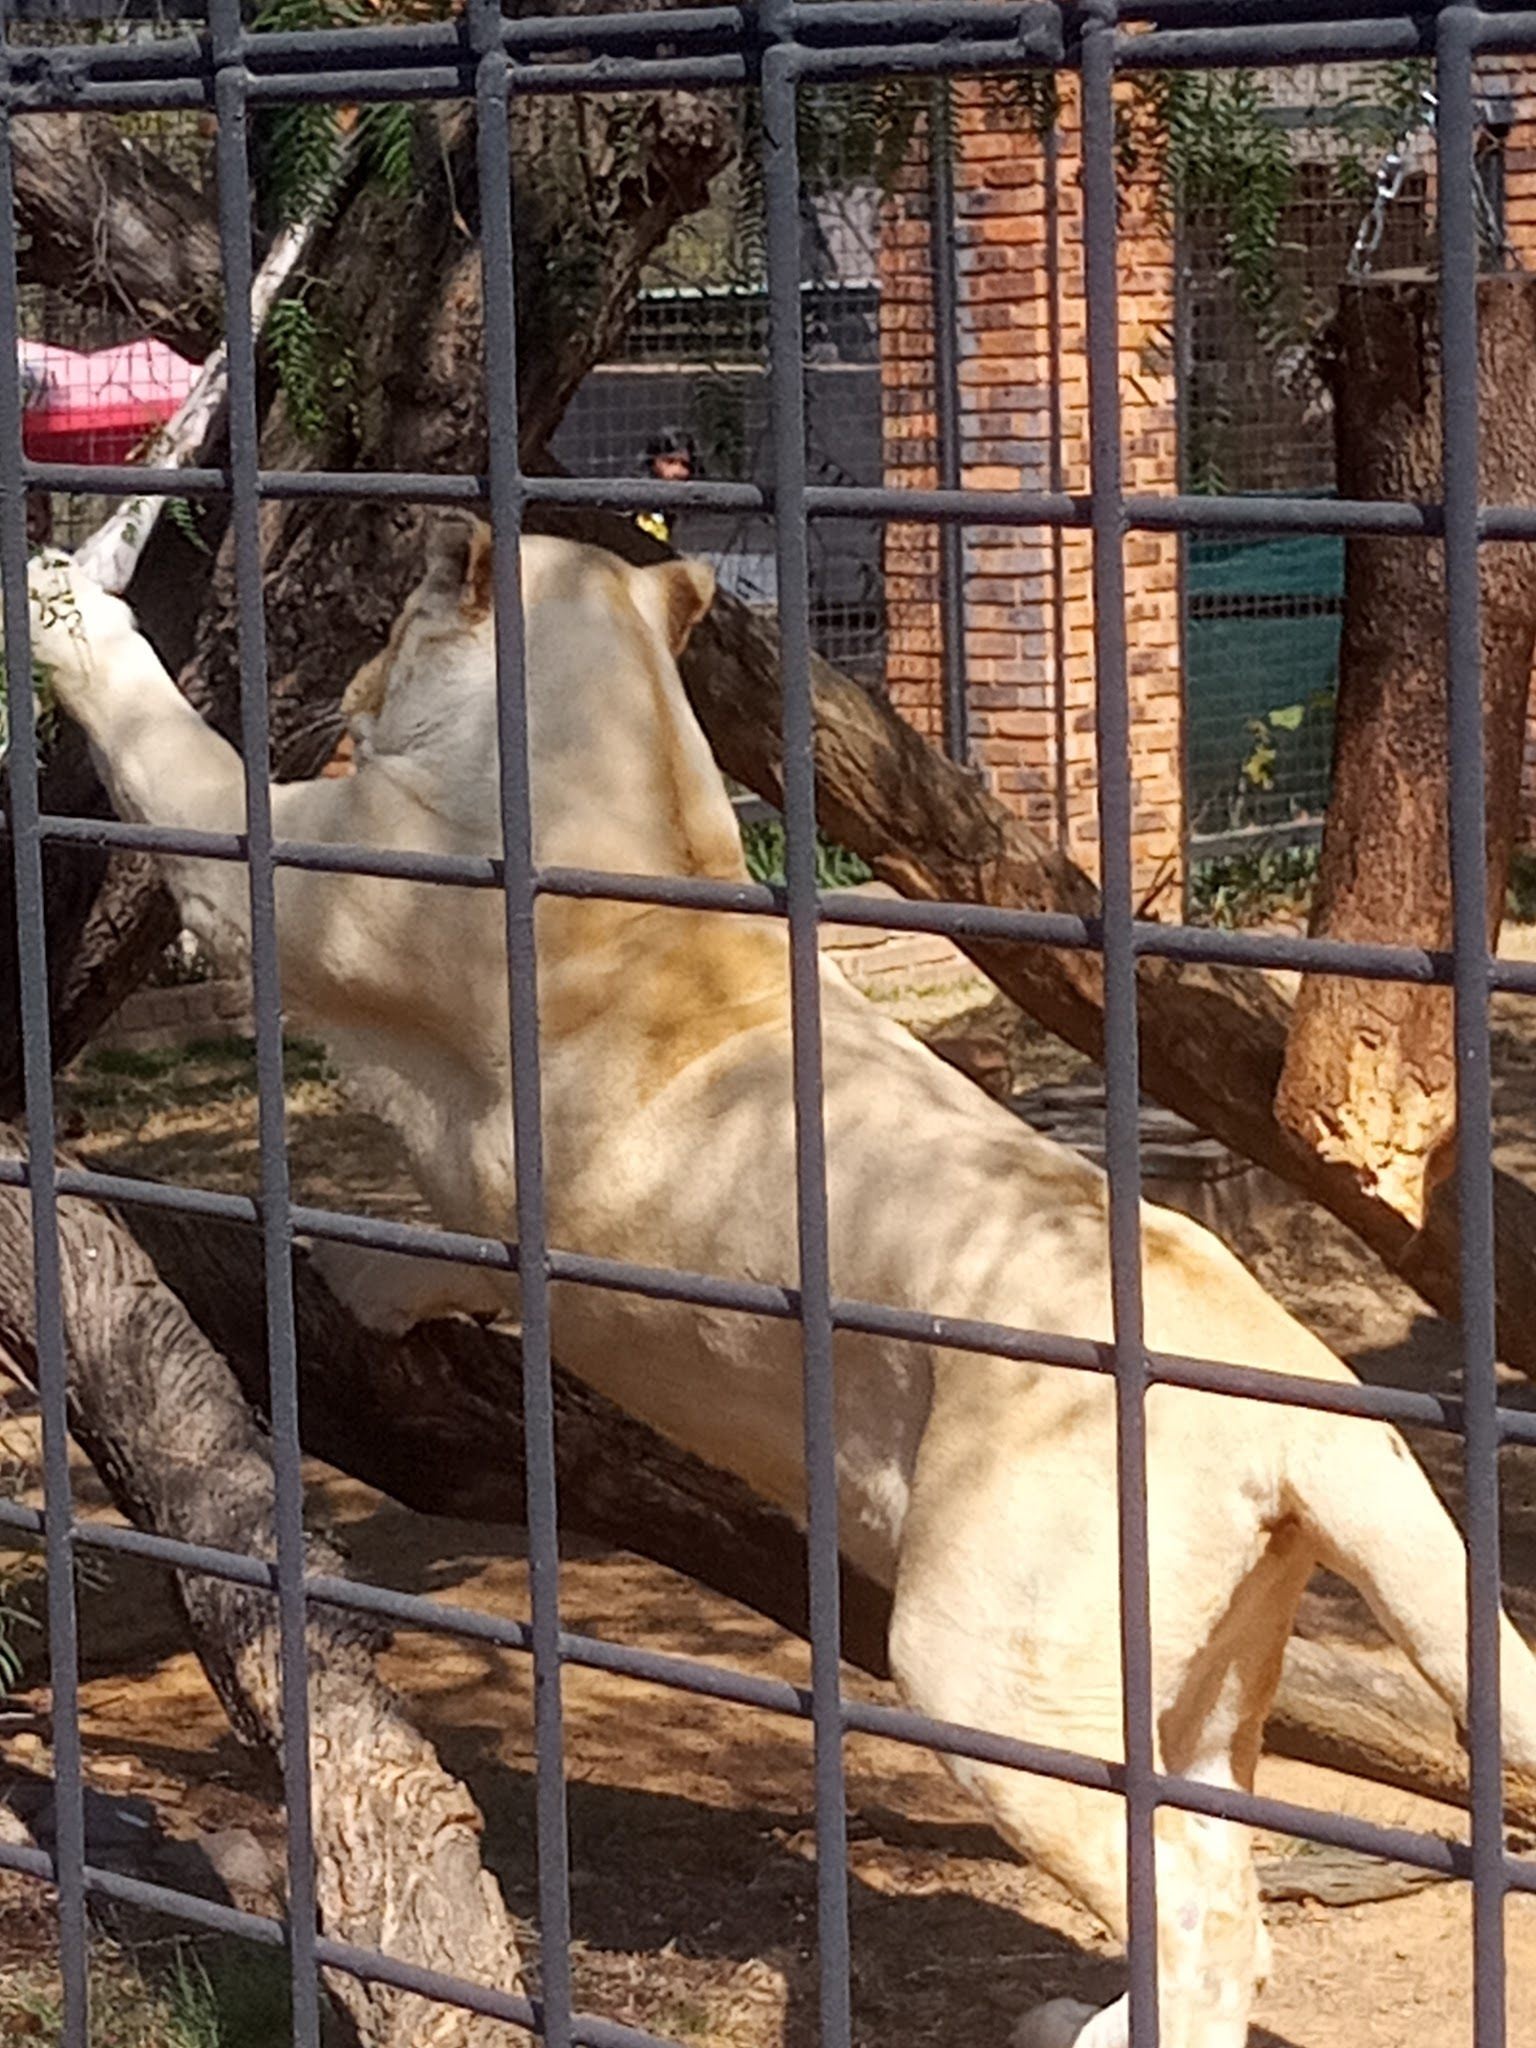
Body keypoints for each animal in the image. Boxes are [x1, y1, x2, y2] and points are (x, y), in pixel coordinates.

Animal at [30, 516, 1536, 2048]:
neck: (627, 776)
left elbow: (178, 760)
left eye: (393, 622)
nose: (347, 690)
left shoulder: (301, 892)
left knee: (1203, 1906)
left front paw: (60, 605)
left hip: (986, 1658)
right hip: (1205, 1674)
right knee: (1218, 1859)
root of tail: (1301, 1390)